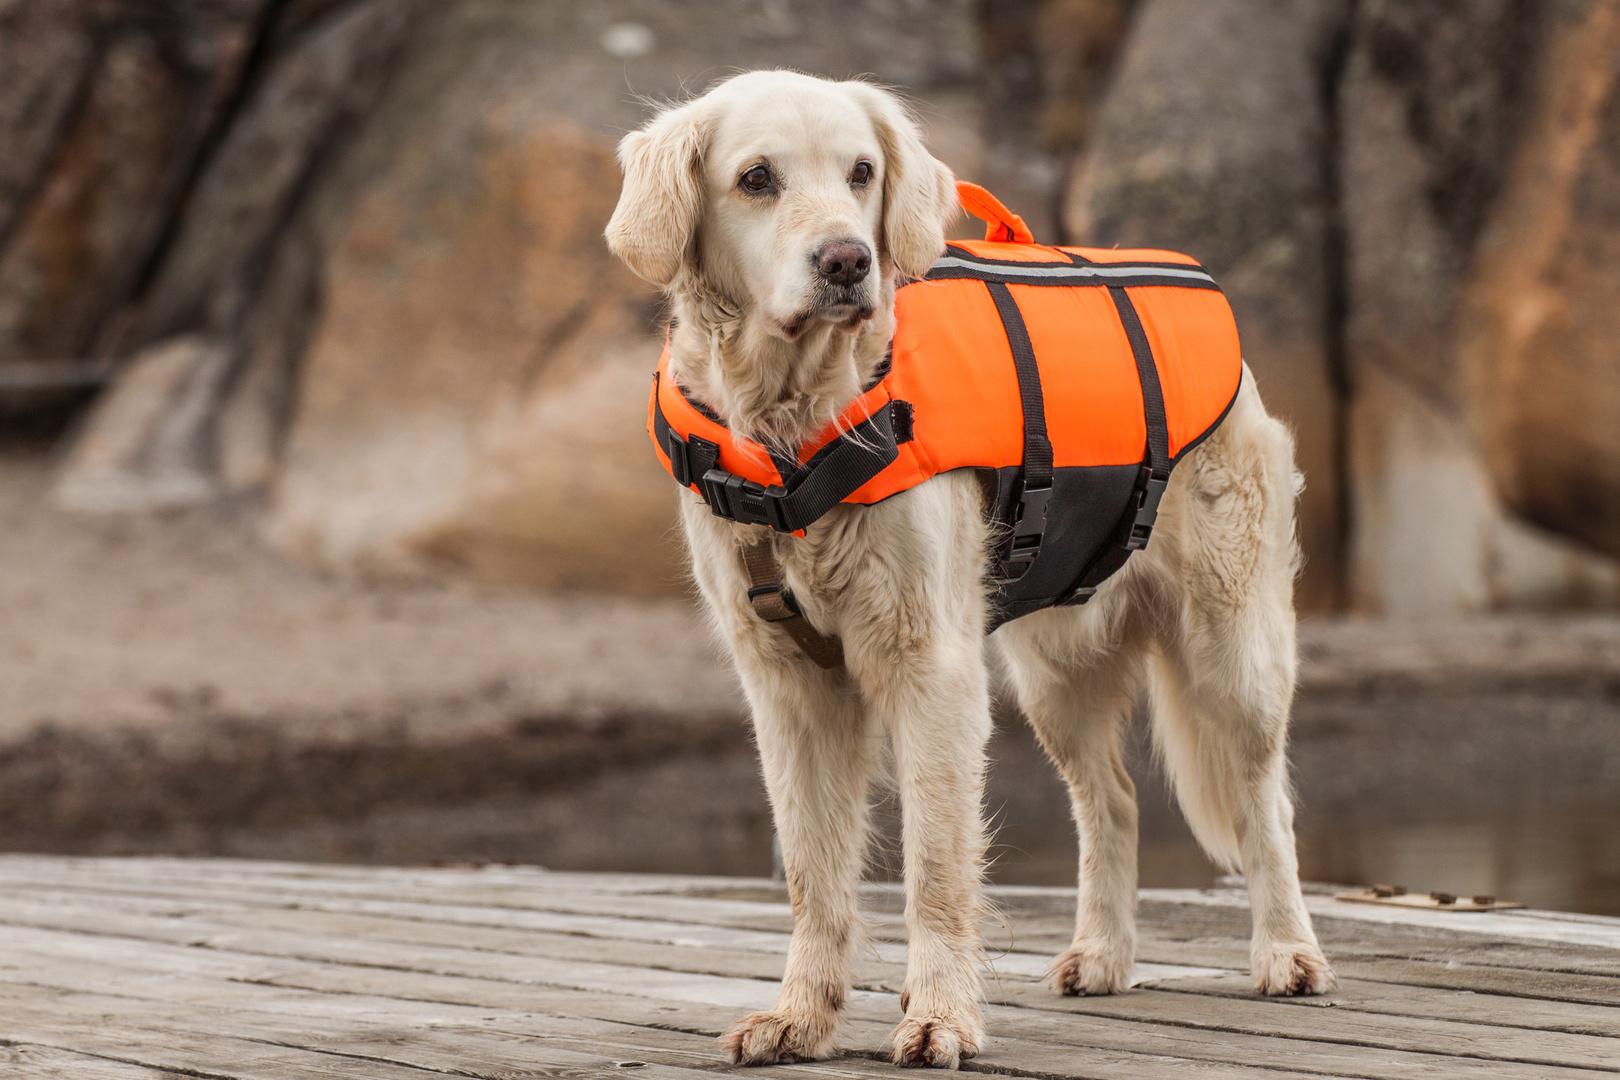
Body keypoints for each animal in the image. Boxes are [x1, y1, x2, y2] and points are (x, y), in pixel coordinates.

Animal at [602, 71, 1334, 1068]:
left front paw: (939, 1016)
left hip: (1234, 647)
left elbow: (936, 867)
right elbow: (813, 873)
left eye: (862, 172)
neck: (797, 429)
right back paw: (1102, 955)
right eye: (756, 178)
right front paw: (800, 1016)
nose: (847, 262)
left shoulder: (930, 667)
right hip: (1056, 672)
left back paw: (1288, 953)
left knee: (1267, 801)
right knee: (1114, 801)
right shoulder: (787, 683)